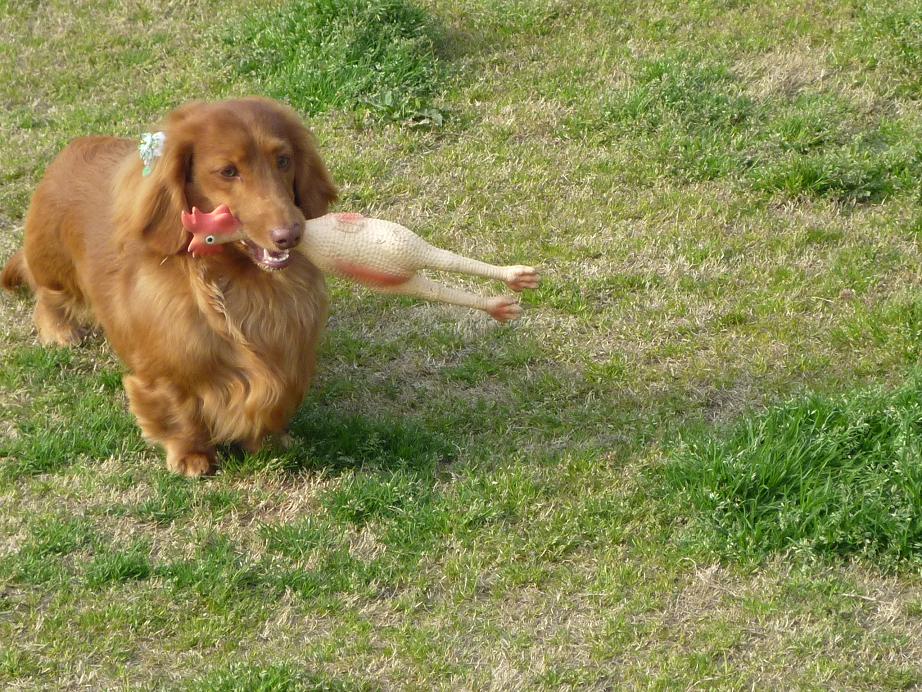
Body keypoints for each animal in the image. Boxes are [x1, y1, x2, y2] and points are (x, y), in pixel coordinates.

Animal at [1, 98, 338, 476]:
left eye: (283, 160)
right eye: (228, 171)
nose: (290, 235)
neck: (242, 284)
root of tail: (71, 148)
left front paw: (270, 443)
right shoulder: (165, 371)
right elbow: (179, 410)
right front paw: (192, 455)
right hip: (55, 266)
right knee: (47, 294)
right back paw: (58, 331)